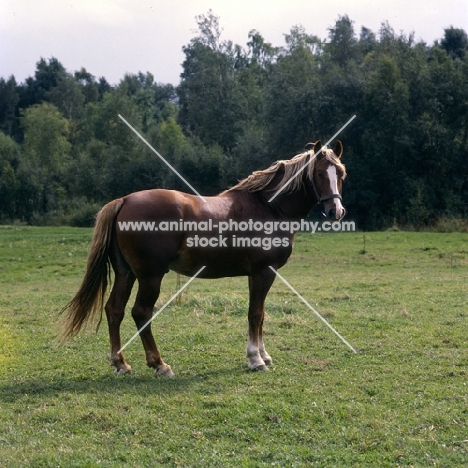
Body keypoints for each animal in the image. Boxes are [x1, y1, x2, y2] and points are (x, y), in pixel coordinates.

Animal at [60, 140, 346, 376]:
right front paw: (255, 360)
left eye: (340, 174)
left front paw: (264, 355)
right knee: (141, 313)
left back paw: (120, 363)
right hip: (150, 276)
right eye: (319, 174)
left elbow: (261, 315)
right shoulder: (263, 272)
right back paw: (159, 364)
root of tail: (125, 200)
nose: (336, 211)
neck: (270, 207)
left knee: (114, 310)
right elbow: (255, 314)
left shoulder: (260, 274)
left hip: (126, 273)